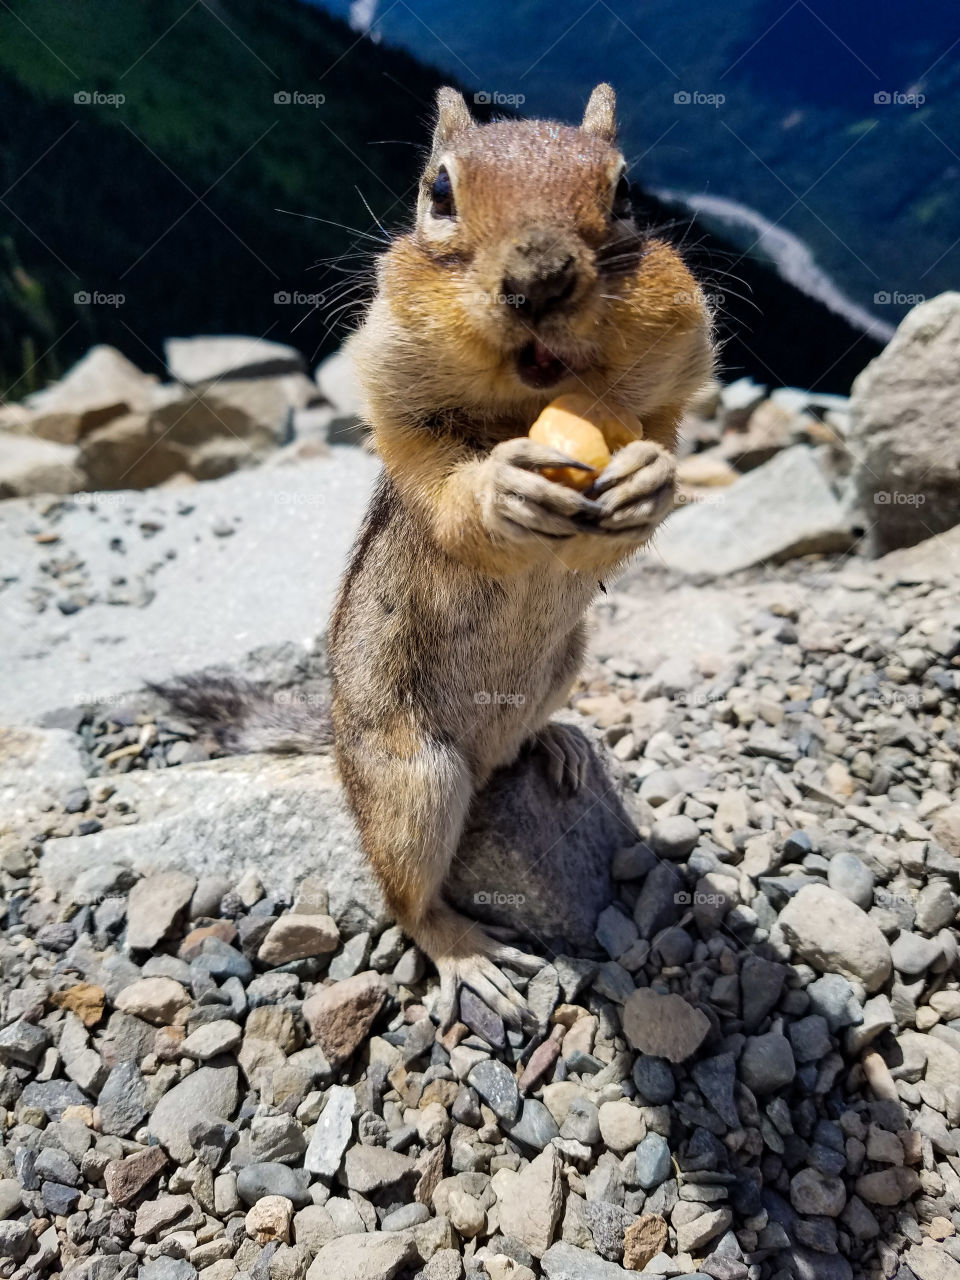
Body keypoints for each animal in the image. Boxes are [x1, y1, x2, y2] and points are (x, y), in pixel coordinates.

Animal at [157, 84, 714, 1030]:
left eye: (625, 192)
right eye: (440, 193)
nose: (539, 279)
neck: (527, 400)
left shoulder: (672, 376)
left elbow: (666, 439)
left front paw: (648, 477)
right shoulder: (396, 401)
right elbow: (443, 491)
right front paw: (500, 492)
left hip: (563, 668)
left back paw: (554, 742)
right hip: (412, 776)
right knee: (404, 898)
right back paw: (467, 954)